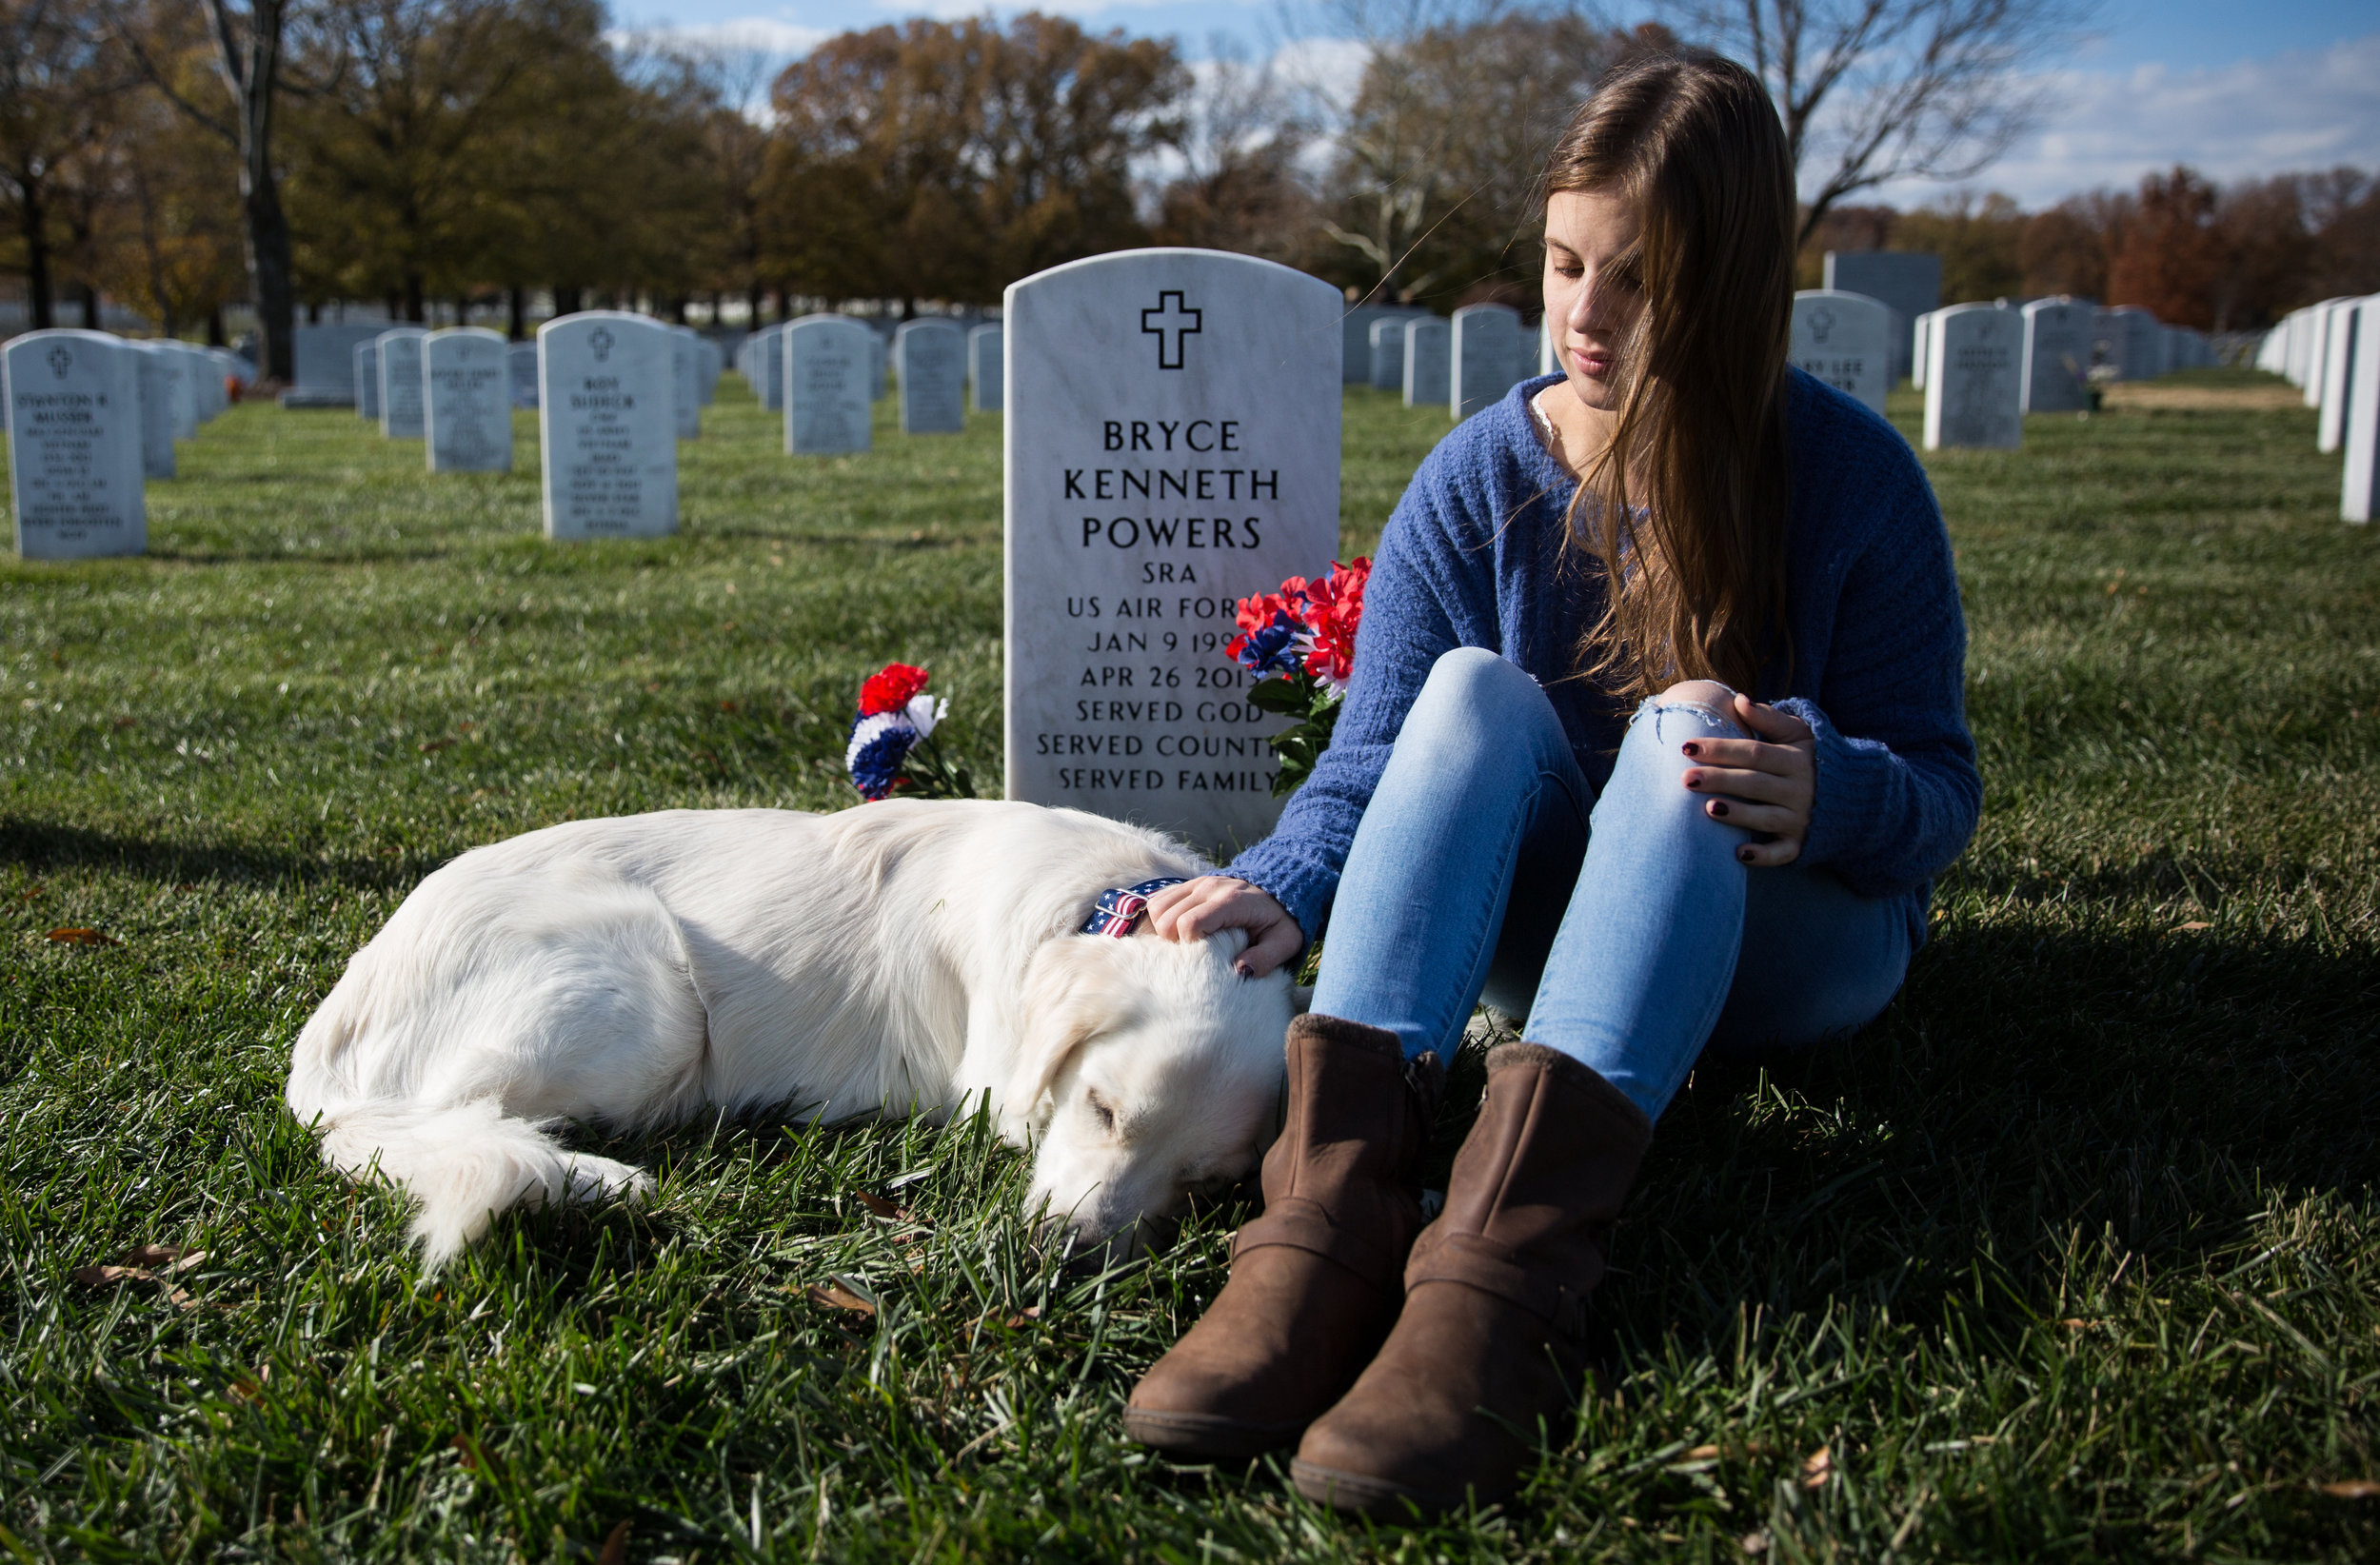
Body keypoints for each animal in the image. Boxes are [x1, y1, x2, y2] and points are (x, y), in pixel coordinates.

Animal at [297, 799, 1314, 1265]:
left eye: (1205, 1182)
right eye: (1102, 1110)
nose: (1072, 1252)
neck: (1106, 898)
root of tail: (325, 1049)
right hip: (654, 992)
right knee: (457, 1120)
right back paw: (599, 1177)